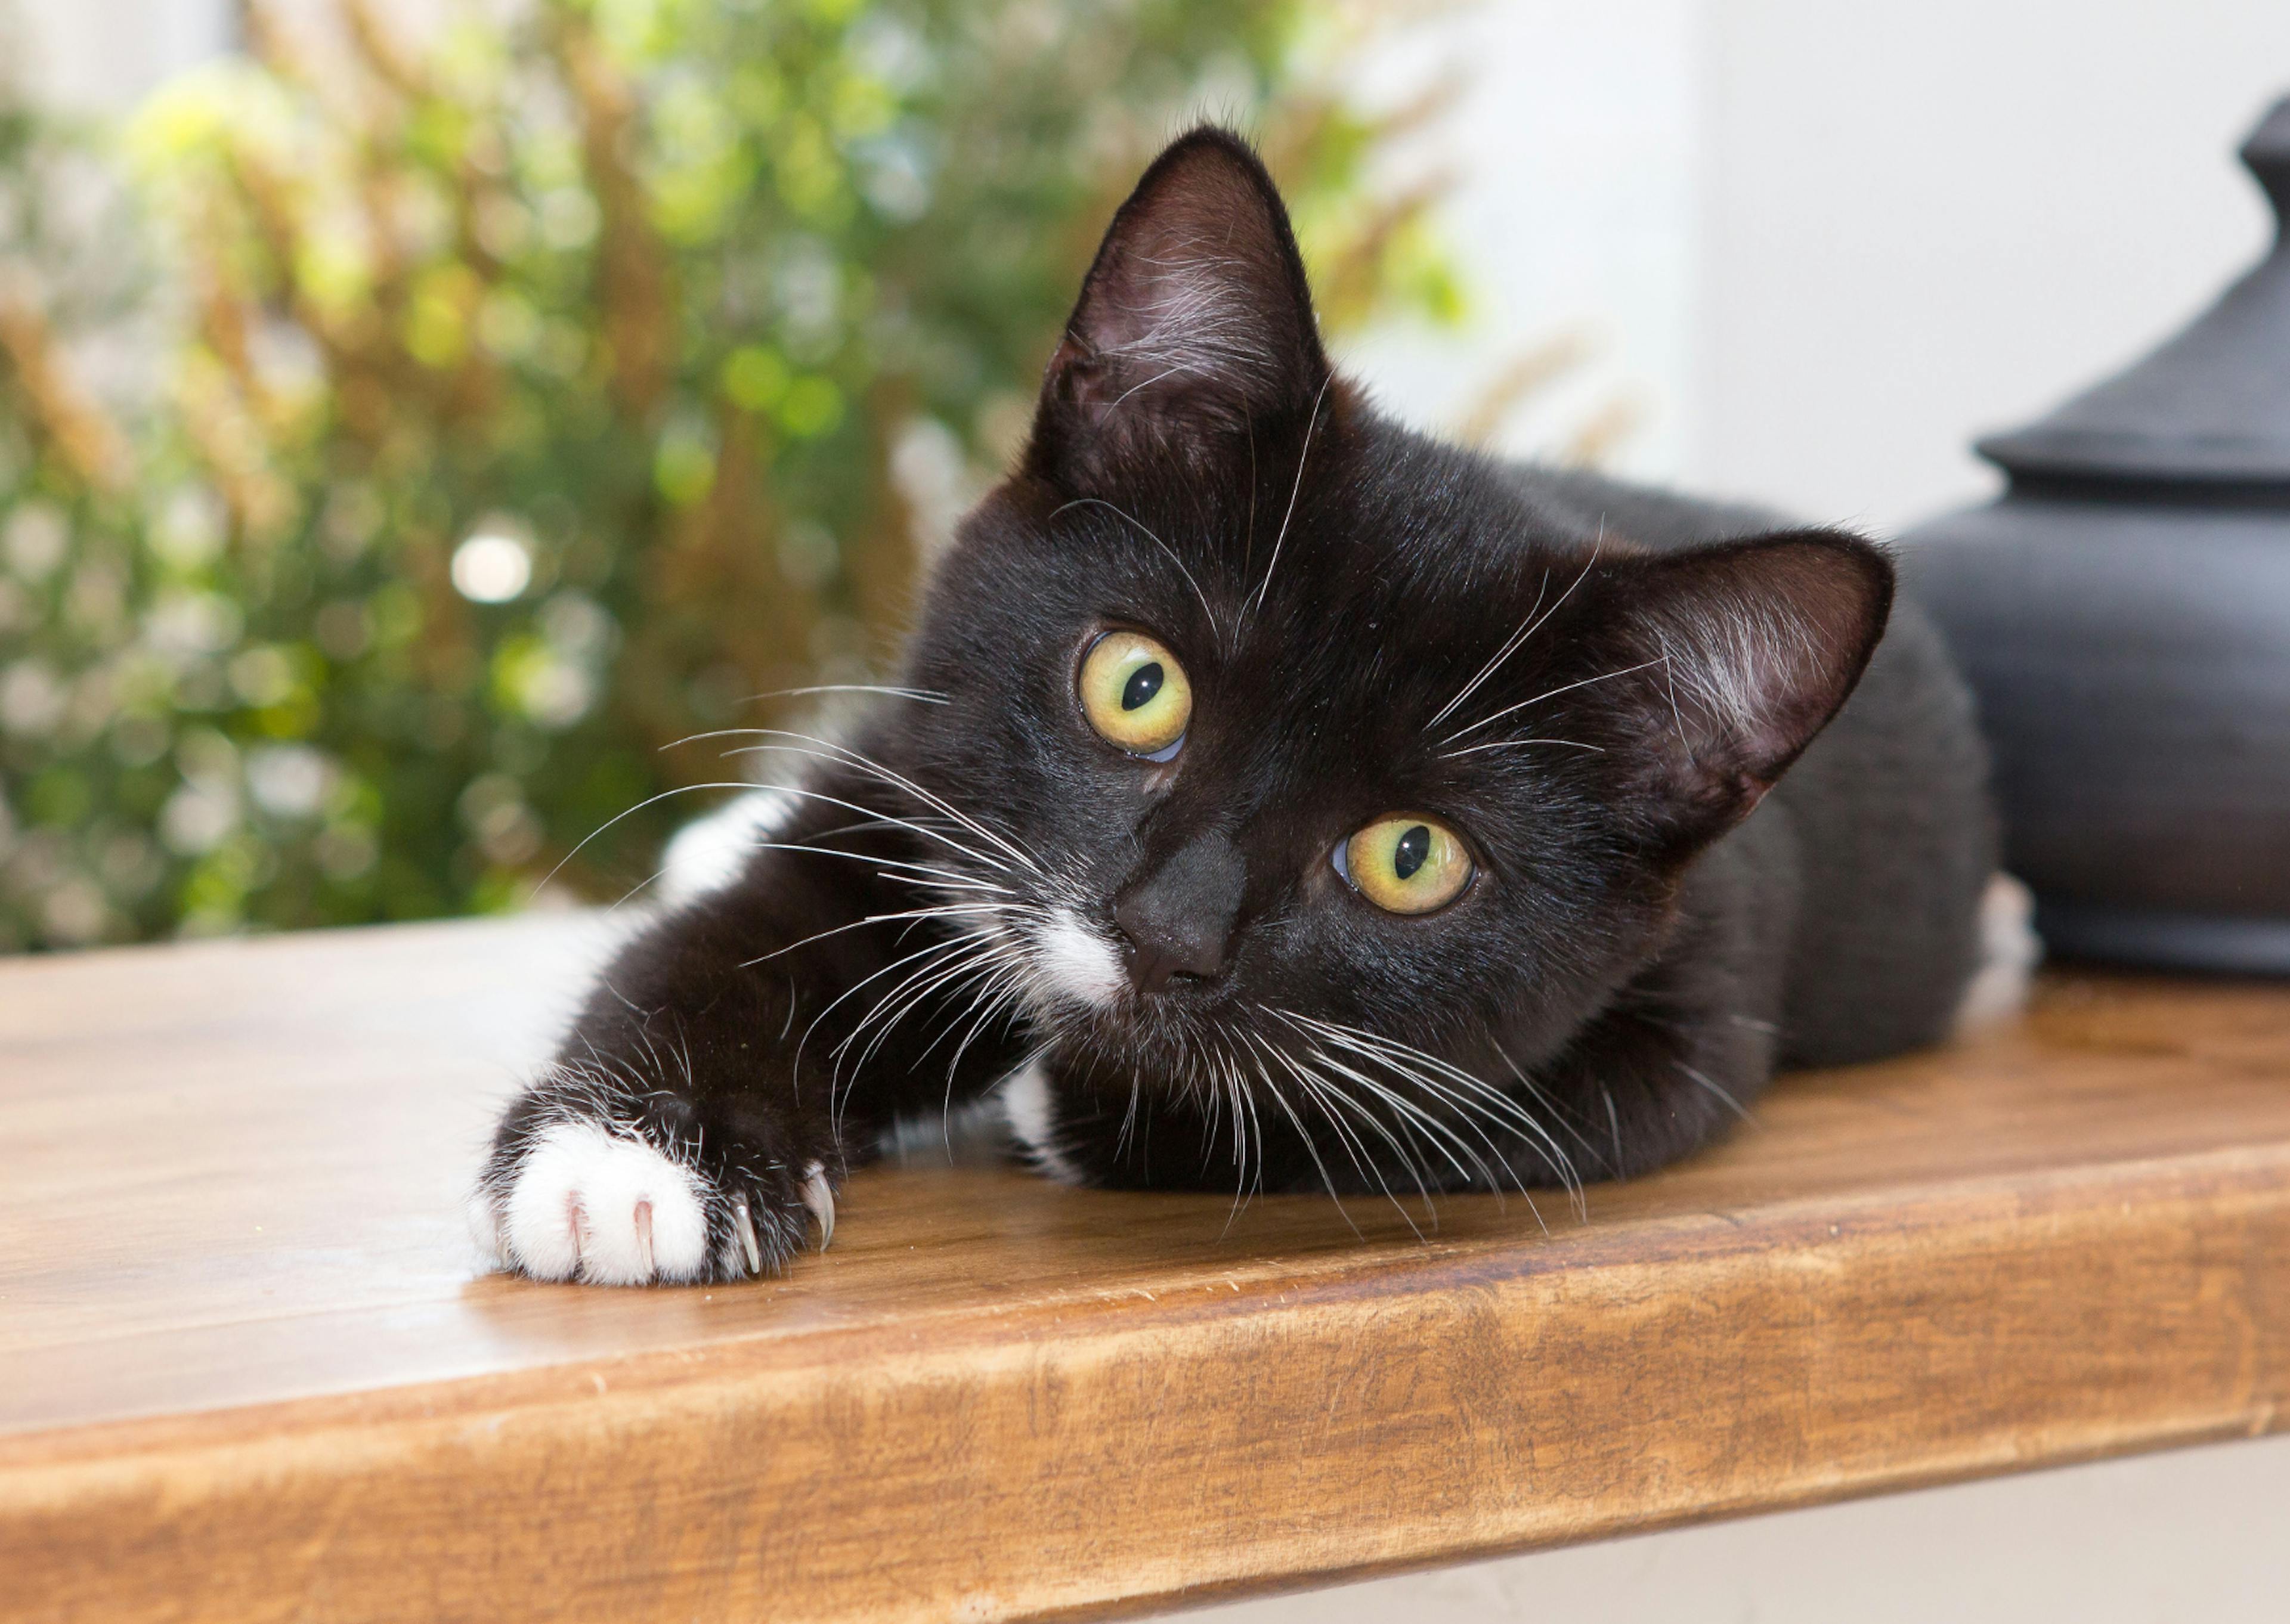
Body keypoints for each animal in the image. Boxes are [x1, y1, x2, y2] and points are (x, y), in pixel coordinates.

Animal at [474, 130, 2015, 1282]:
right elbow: (728, 934)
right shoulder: (905, 784)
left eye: (1411, 857)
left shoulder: (1698, 1004)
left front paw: (1061, 1101)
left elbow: (1457, 1115)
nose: (1166, 937)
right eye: (1137, 685)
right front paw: (629, 1162)